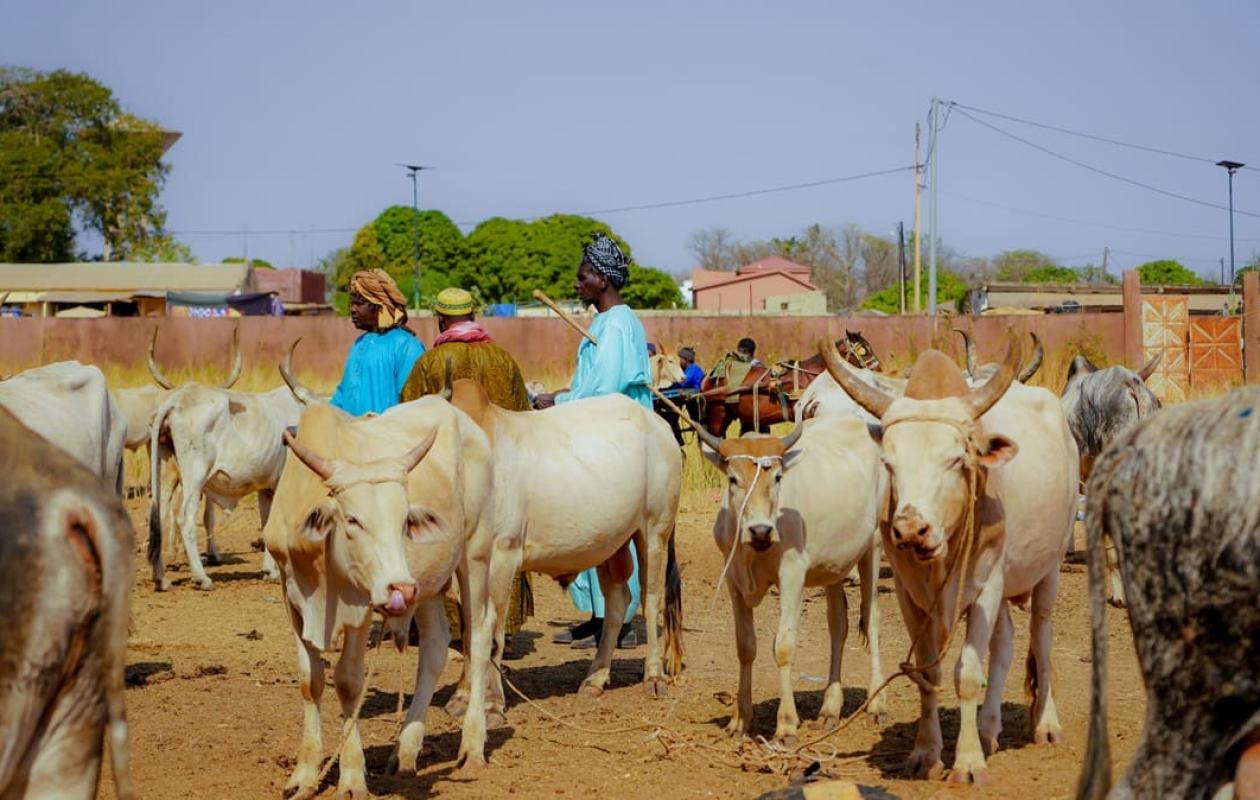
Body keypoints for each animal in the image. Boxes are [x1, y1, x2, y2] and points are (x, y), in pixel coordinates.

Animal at [263, 395, 497, 796]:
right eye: (352, 520)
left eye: (405, 520)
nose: (401, 588)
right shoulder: (291, 597)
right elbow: (310, 680)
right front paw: (305, 775)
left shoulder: (360, 605)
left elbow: (348, 682)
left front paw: (352, 777)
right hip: (429, 581)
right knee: (435, 645)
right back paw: (405, 752)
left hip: (474, 552)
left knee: (479, 634)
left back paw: (471, 745)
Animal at [445, 378, 684, 712]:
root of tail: (659, 426)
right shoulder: (465, 567)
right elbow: (470, 629)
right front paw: (462, 695)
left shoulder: (503, 555)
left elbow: (492, 631)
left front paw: (491, 703)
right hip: (611, 542)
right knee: (617, 600)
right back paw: (595, 679)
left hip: (655, 531)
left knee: (650, 600)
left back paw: (654, 676)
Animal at [692, 415, 888, 742]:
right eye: (733, 479)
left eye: (777, 478)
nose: (760, 530)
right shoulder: (733, 580)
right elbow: (745, 646)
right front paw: (740, 719)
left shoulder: (792, 575)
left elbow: (783, 647)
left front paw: (785, 725)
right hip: (835, 565)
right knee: (839, 626)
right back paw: (830, 709)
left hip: (873, 545)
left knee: (872, 620)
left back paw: (876, 703)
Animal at [820, 332, 1079, 783]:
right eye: (889, 463)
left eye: (957, 459)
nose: (911, 529)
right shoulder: (910, 594)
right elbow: (928, 672)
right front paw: (927, 753)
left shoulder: (986, 588)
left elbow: (968, 674)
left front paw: (969, 762)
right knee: (1005, 645)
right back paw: (990, 728)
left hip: (1049, 569)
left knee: (1041, 640)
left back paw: (1046, 724)